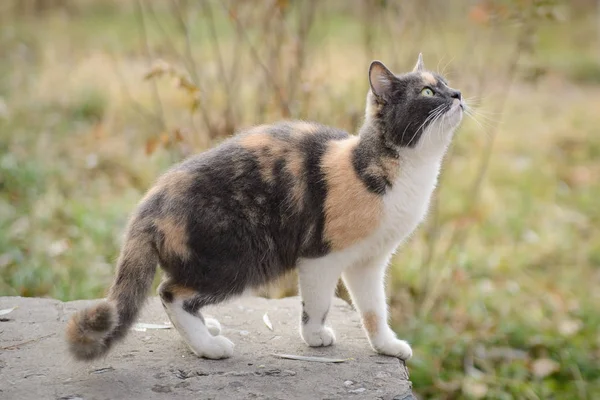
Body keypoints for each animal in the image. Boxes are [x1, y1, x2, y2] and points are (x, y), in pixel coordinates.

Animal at [68, 54, 466, 362]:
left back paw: (207, 329)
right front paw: (315, 336)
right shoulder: (320, 257)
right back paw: (208, 347)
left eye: (446, 84)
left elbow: (374, 309)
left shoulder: (368, 262)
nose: (458, 94)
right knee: (169, 293)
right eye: (428, 92)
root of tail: (149, 204)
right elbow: (317, 303)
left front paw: (386, 345)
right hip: (239, 260)